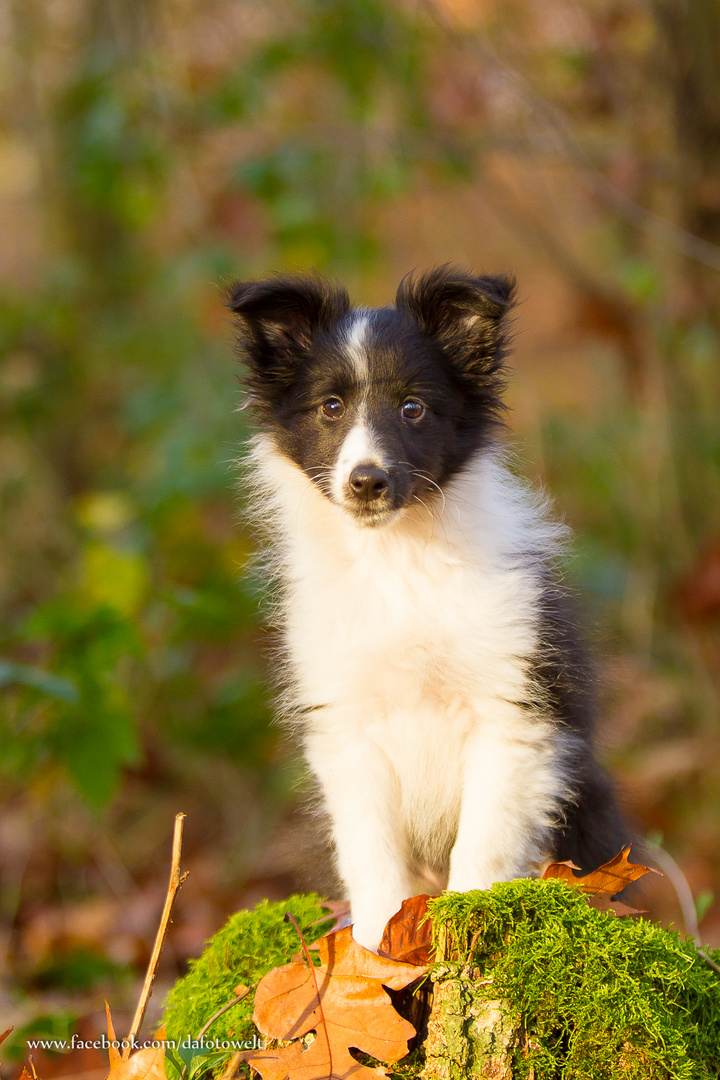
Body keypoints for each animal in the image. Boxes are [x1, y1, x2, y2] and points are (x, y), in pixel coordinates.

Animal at [229, 265, 630, 950]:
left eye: (412, 408)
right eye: (331, 407)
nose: (367, 482)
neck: (398, 560)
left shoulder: (511, 710)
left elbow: (484, 842)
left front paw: (468, 924)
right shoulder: (347, 723)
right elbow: (371, 852)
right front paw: (374, 953)